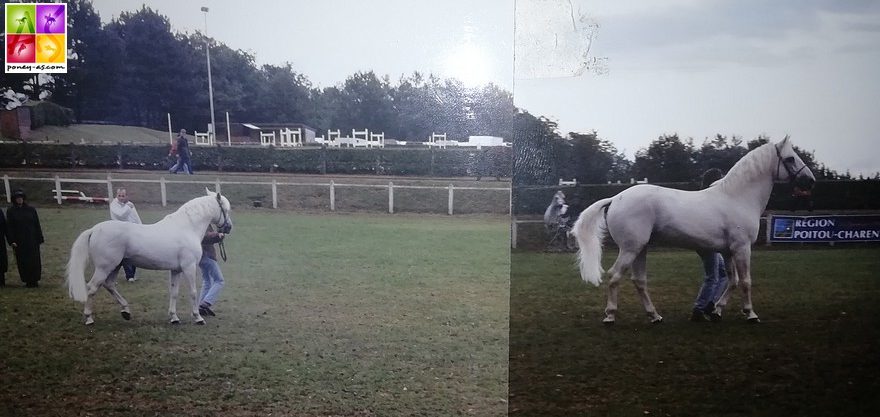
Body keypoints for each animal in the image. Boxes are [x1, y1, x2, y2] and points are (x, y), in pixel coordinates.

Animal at [65, 189, 232, 324]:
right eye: (225, 209)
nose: (229, 227)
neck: (187, 227)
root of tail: (94, 229)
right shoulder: (189, 267)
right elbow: (193, 292)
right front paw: (198, 317)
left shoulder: (176, 270)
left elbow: (174, 293)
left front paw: (174, 317)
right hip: (104, 267)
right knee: (92, 287)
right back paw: (89, 318)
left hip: (115, 266)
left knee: (109, 285)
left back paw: (126, 311)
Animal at [576, 136, 816, 322]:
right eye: (790, 158)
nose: (810, 181)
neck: (737, 198)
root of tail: (616, 198)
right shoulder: (742, 247)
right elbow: (746, 281)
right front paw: (751, 314)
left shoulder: (727, 251)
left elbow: (732, 281)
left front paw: (717, 310)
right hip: (630, 249)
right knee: (614, 276)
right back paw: (610, 315)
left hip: (640, 249)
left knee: (639, 281)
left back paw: (655, 316)